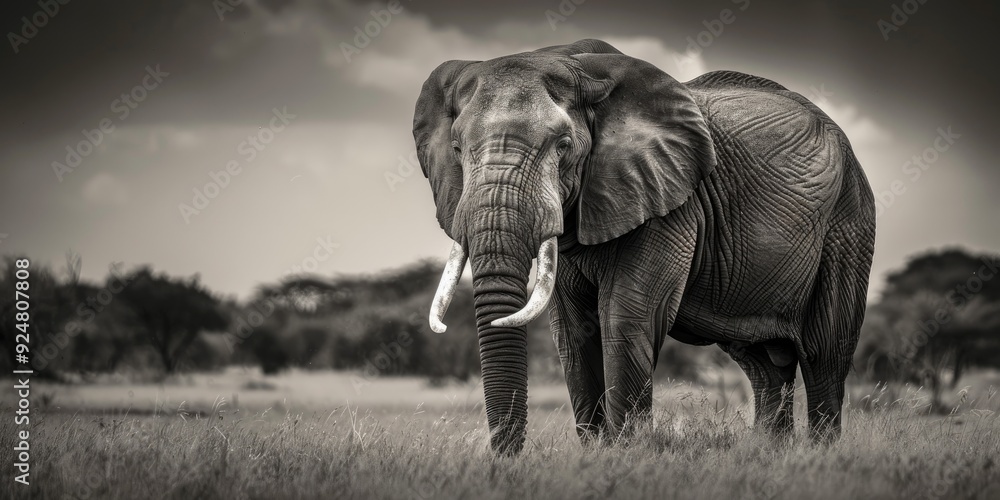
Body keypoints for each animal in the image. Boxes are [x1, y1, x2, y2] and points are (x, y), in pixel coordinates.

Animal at [413, 39, 876, 455]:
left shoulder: (669, 202)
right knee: (763, 362)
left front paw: (623, 454)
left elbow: (626, 315)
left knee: (824, 352)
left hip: (848, 219)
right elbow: (573, 331)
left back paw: (820, 454)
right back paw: (768, 452)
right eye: (457, 149)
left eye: (563, 146)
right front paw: (597, 454)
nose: (505, 459)